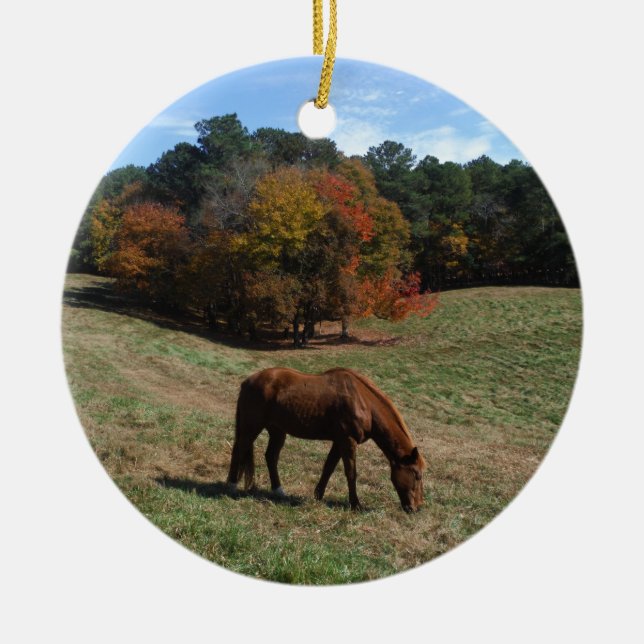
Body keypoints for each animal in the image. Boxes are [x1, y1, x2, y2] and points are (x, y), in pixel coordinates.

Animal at [226, 367, 426, 512]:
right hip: (251, 426)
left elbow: (328, 468)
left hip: (277, 431)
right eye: (417, 475)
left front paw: (318, 496)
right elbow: (351, 473)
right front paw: (355, 504)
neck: (362, 402)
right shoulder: (347, 441)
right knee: (239, 449)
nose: (416, 508)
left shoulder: (338, 442)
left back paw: (278, 490)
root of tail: (248, 381)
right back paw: (231, 486)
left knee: (271, 457)